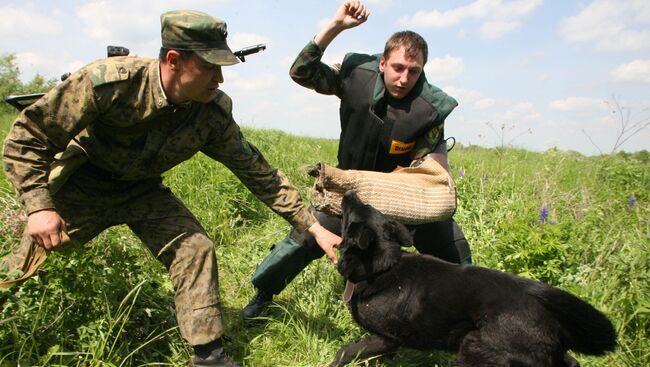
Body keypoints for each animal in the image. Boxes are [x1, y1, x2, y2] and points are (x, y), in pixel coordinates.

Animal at [332, 191, 616, 366]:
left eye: (352, 213)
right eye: (366, 205)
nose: (349, 193)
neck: (382, 268)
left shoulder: (385, 337)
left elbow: (346, 351)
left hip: (474, 348)